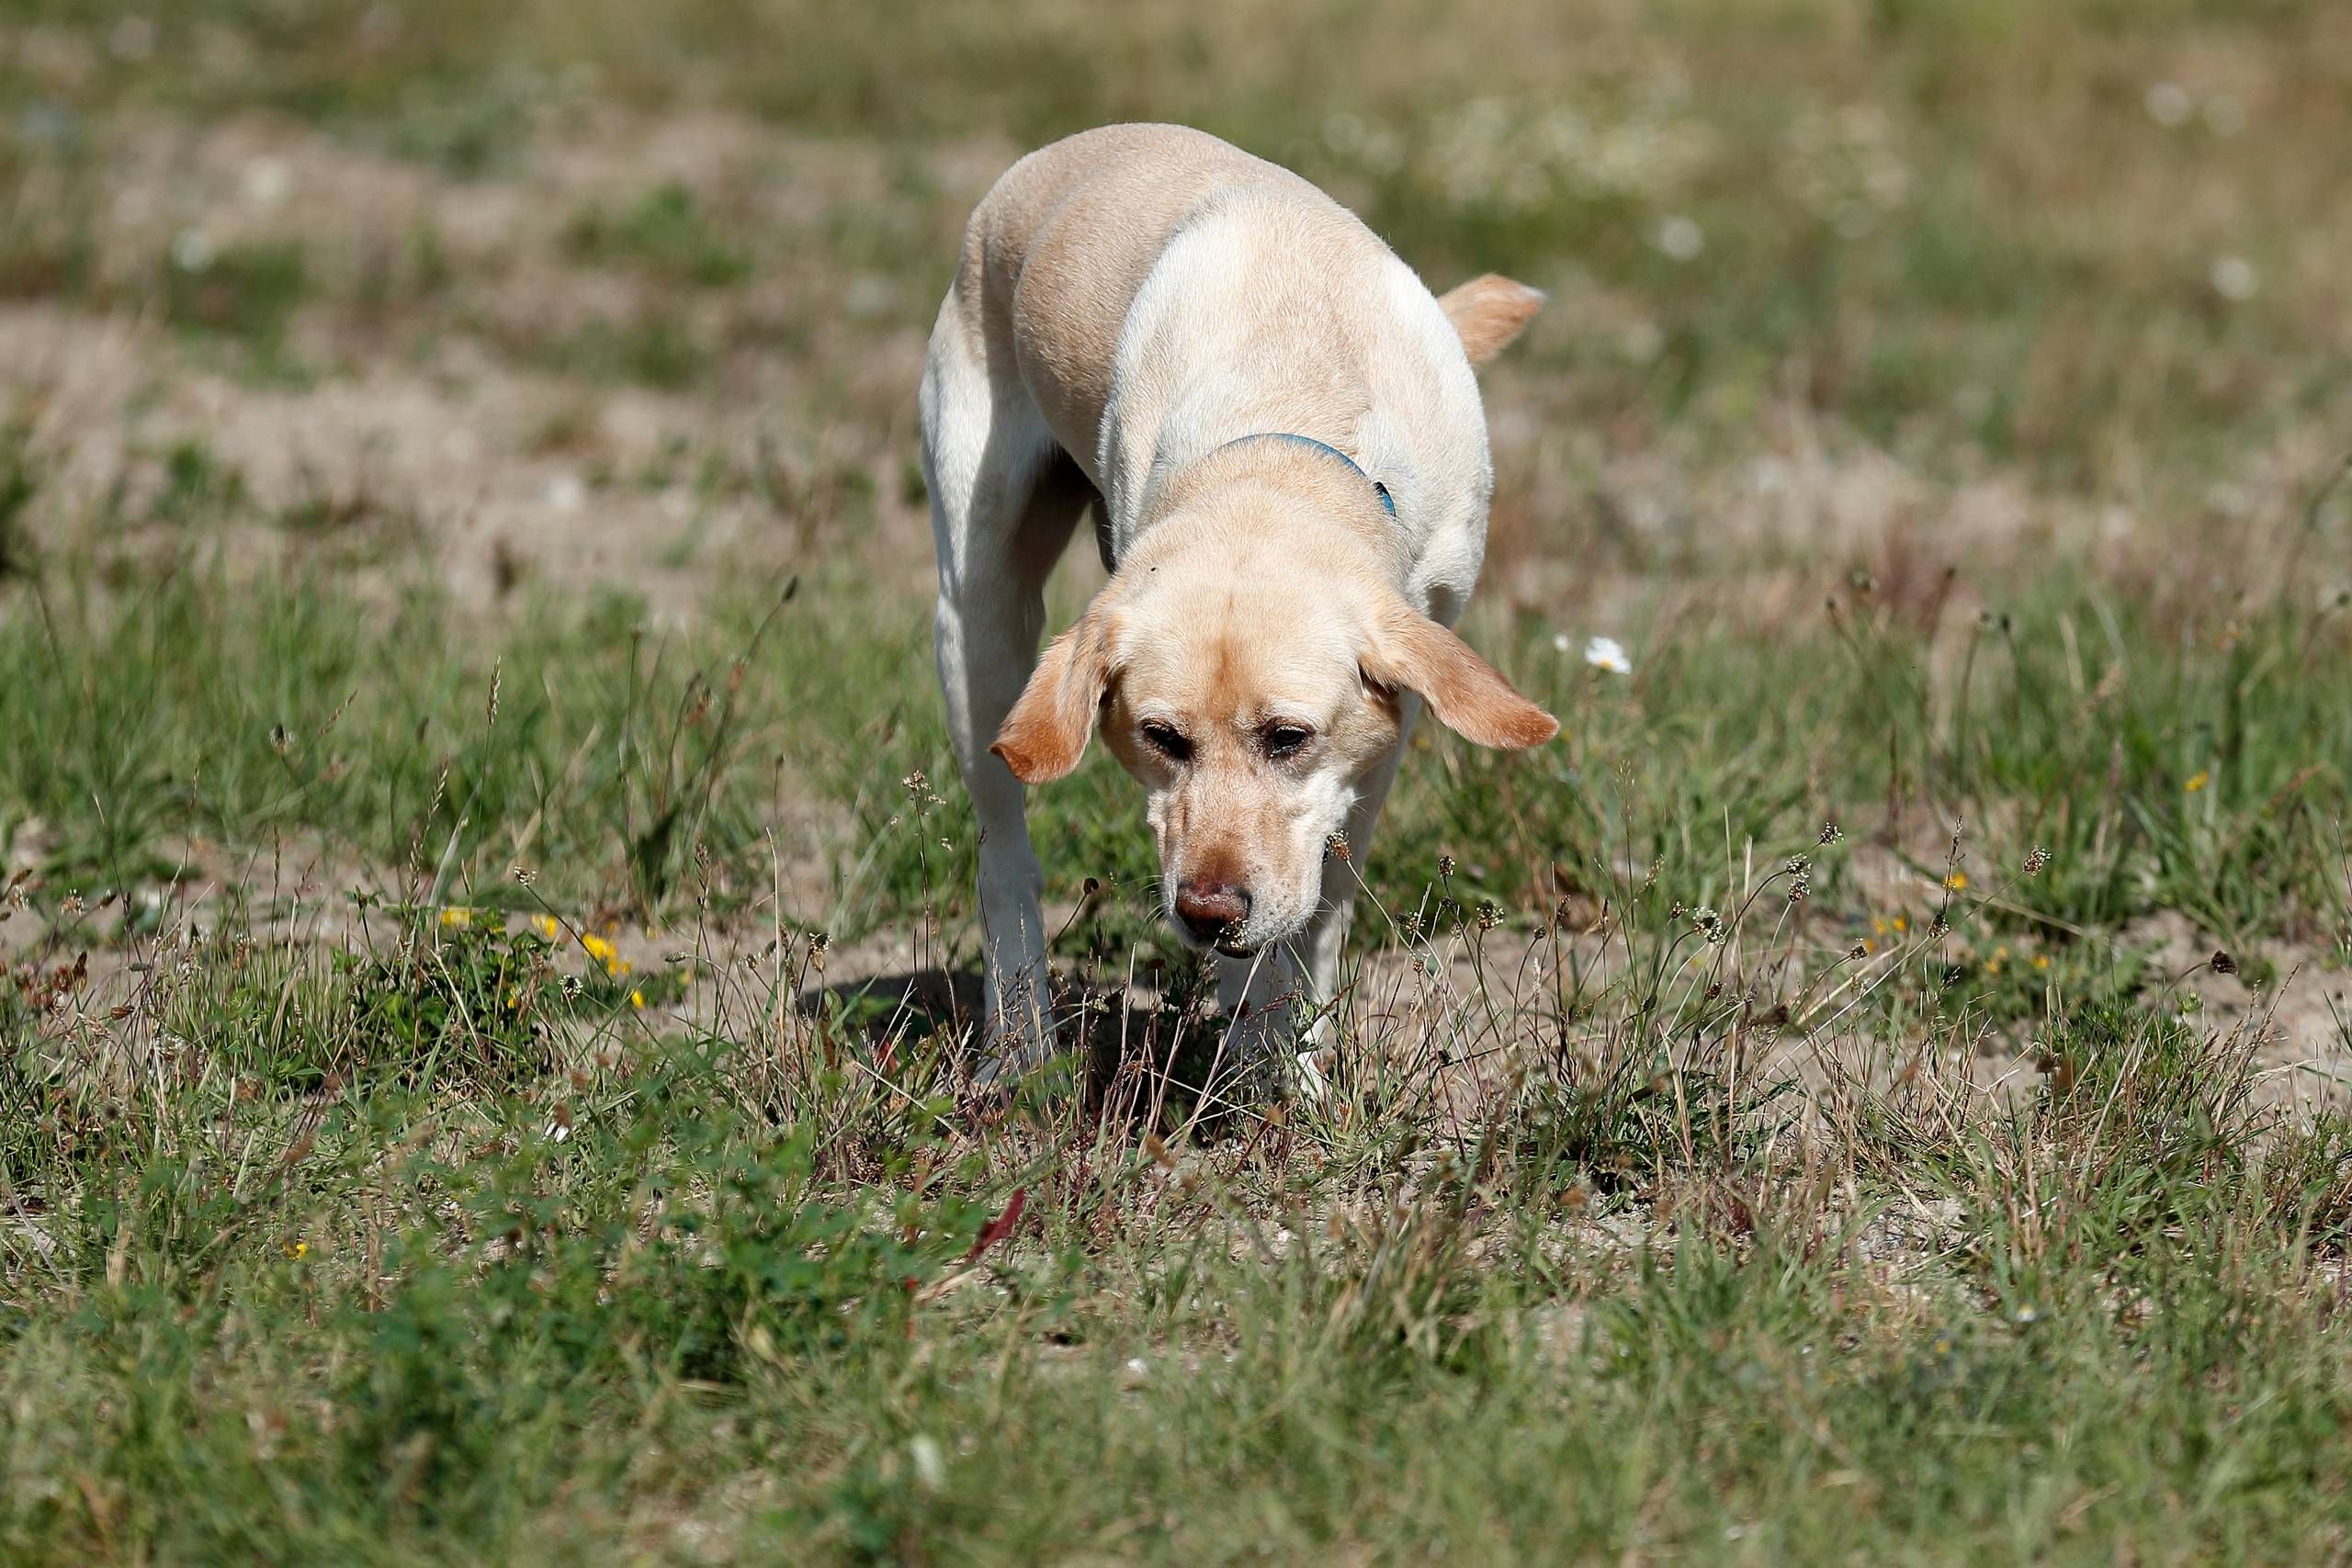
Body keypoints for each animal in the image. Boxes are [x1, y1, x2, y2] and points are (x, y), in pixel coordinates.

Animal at [922, 122, 1561, 1086]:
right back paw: (1020, 1047)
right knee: (1004, 852)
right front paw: (1261, 1065)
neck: (1290, 422)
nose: (1208, 910)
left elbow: (1319, 909)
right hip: (979, 616)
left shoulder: (1394, 718)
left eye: (1288, 736)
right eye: (1160, 736)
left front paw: (1291, 1067)